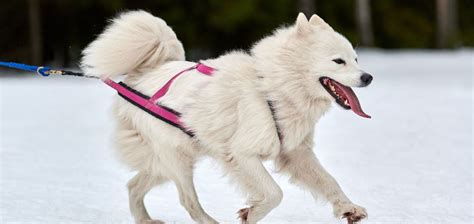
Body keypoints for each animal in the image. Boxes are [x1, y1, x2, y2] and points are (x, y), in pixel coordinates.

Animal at [81, 9, 372, 223]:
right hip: (177, 160)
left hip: (169, 161)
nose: (368, 77)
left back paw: (145, 220)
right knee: (188, 201)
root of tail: (145, 72)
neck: (273, 90)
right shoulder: (242, 154)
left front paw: (349, 208)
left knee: (133, 185)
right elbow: (274, 193)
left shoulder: (295, 153)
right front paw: (251, 213)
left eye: (356, 59)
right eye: (338, 61)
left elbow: (329, 181)